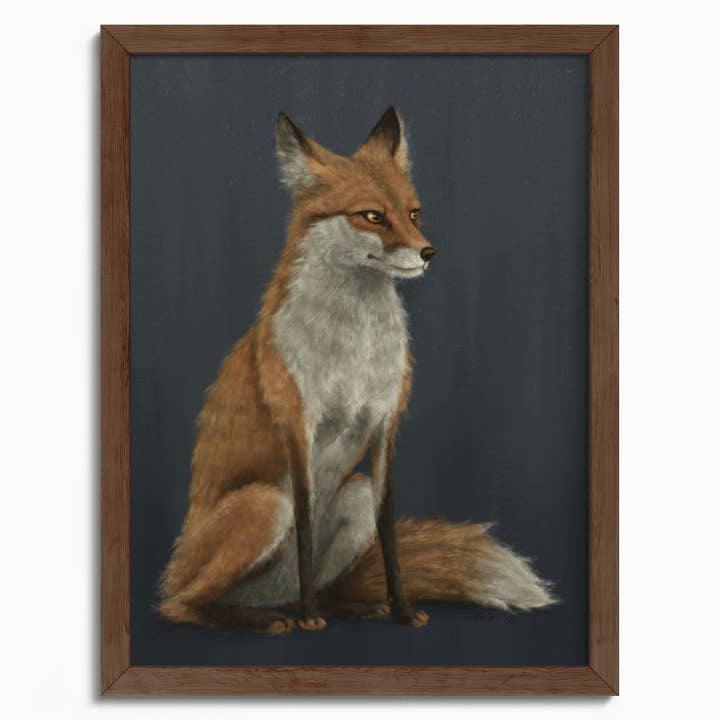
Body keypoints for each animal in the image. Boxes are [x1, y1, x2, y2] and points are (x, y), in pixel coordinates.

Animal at [158, 106, 555, 634]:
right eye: (372, 215)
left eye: (413, 213)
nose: (429, 252)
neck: (355, 349)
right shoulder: (298, 426)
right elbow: (305, 526)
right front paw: (310, 620)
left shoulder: (385, 426)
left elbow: (389, 535)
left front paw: (401, 609)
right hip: (264, 504)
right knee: (181, 604)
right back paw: (269, 617)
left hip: (354, 495)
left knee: (317, 583)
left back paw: (346, 606)